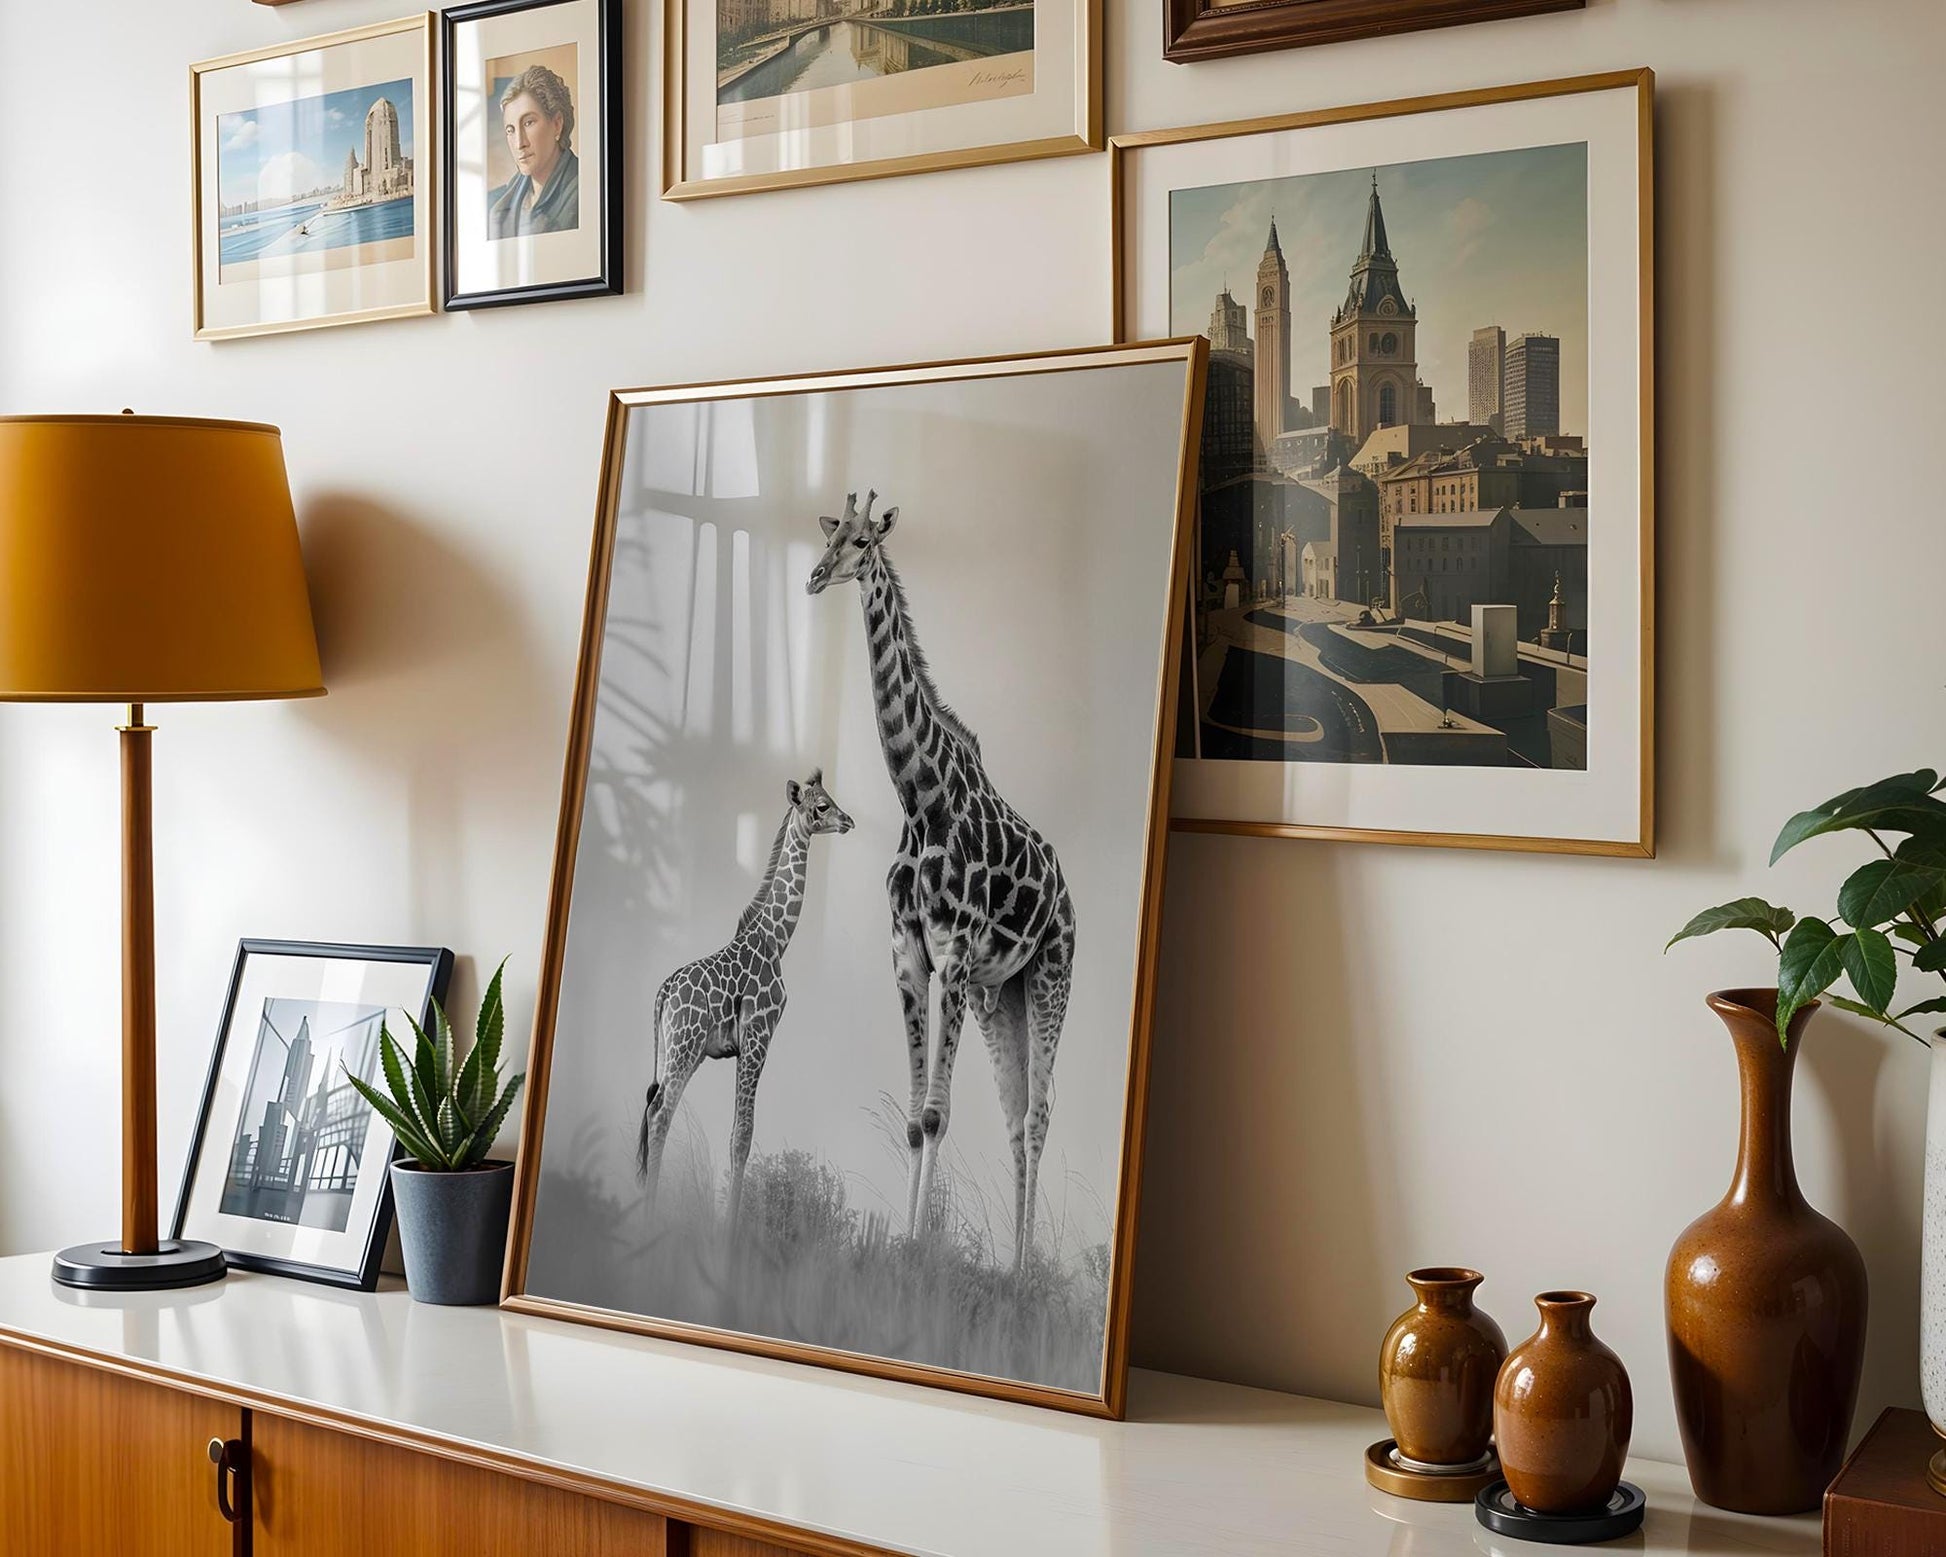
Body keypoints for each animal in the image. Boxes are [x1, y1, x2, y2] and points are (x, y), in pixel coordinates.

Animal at [635, 770, 853, 1232]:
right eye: (821, 805)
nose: (848, 821)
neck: (776, 939)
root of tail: (664, 991)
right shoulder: (758, 1035)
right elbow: (743, 1135)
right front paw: (730, 1232)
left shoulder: (745, 1047)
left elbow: (738, 1130)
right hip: (685, 1050)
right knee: (660, 1114)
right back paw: (649, 1217)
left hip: (675, 1051)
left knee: (654, 1111)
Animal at [806, 491, 1076, 1273]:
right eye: (831, 533)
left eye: (864, 541)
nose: (815, 576)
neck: (921, 799)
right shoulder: (908, 956)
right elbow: (914, 1121)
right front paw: (904, 1241)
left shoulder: (953, 956)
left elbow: (934, 1113)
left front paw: (921, 1251)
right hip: (999, 994)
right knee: (1015, 1117)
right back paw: (1013, 1265)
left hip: (1050, 975)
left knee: (1039, 1112)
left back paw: (1023, 1271)